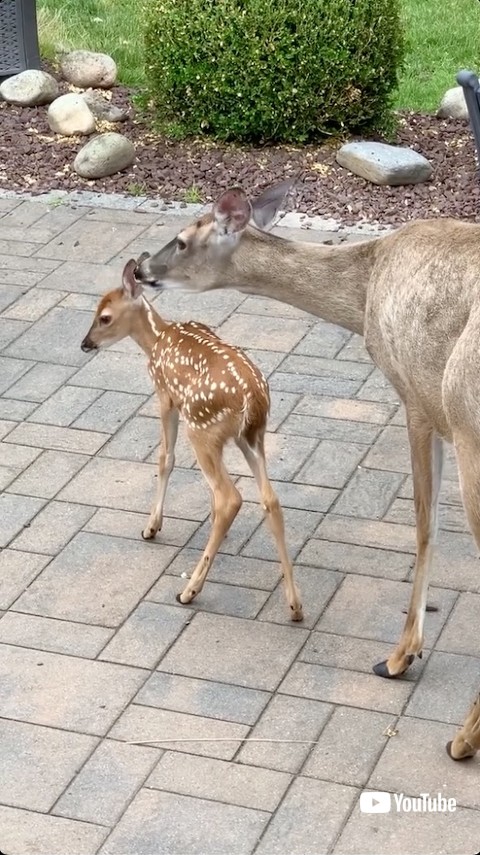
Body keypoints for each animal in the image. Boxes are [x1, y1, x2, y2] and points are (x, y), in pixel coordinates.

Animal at [80, 257, 303, 622]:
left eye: (105, 317)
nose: (85, 344)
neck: (157, 338)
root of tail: (252, 398)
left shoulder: (165, 395)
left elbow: (165, 459)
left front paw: (151, 527)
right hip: (251, 436)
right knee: (269, 499)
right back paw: (295, 605)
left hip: (201, 427)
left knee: (230, 497)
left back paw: (189, 591)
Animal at [134, 179, 480, 763]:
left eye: (181, 240)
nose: (140, 268)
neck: (364, 291)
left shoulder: (418, 398)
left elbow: (424, 524)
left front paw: (399, 657)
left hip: (466, 416)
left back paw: (462, 737)